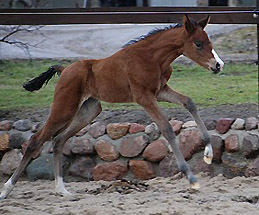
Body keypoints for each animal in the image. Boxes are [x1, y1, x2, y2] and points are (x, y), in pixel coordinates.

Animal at [0, 15, 224, 200]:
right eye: (198, 43)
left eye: (209, 42)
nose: (218, 65)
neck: (152, 57)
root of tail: (64, 69)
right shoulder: (144, 97)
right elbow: (166, 128)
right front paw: (192, 179)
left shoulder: (160, 91)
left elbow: (189, 102)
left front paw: (208, 154)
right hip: (64, 109)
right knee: (36, 141)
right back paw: (6, 190)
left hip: (89, 110)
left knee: (58, 140)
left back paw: (62, 190)